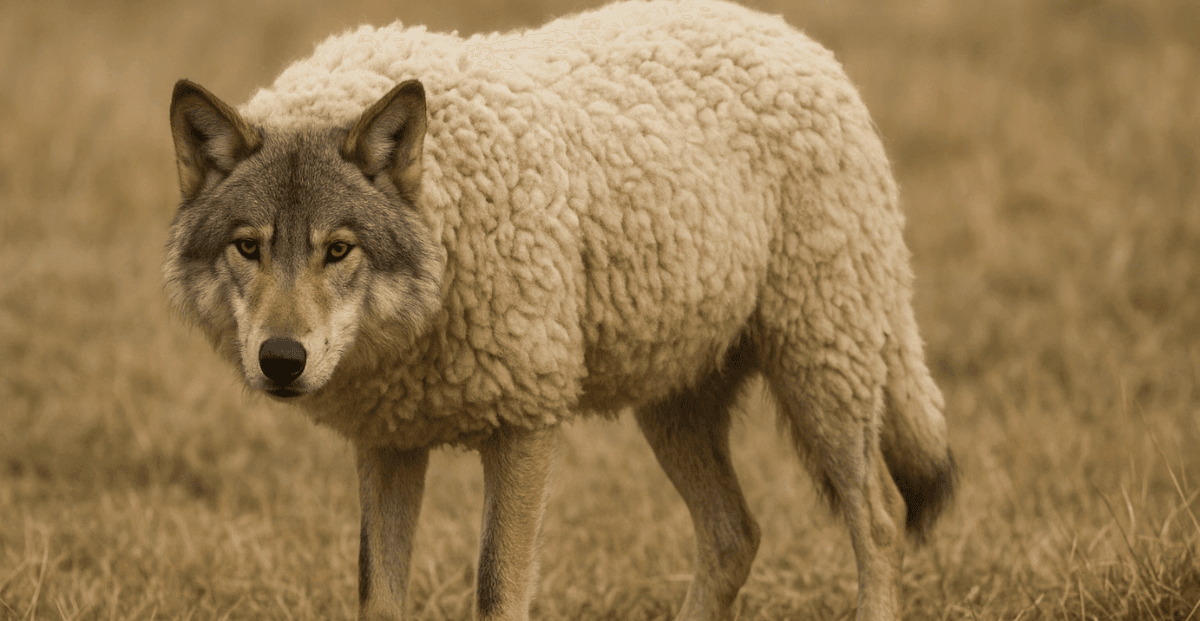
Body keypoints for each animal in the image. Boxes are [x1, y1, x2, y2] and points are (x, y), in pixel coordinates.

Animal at [164, 1, 954, 619]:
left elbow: (495, 592)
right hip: (676, 409)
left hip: (825, 375)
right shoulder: (389, 441)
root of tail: (797, 38)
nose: (281, 360)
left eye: (337, 249)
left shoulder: (526, 423)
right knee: (736, 535)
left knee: (879, 521)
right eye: (248, 248)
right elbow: (378, 596)